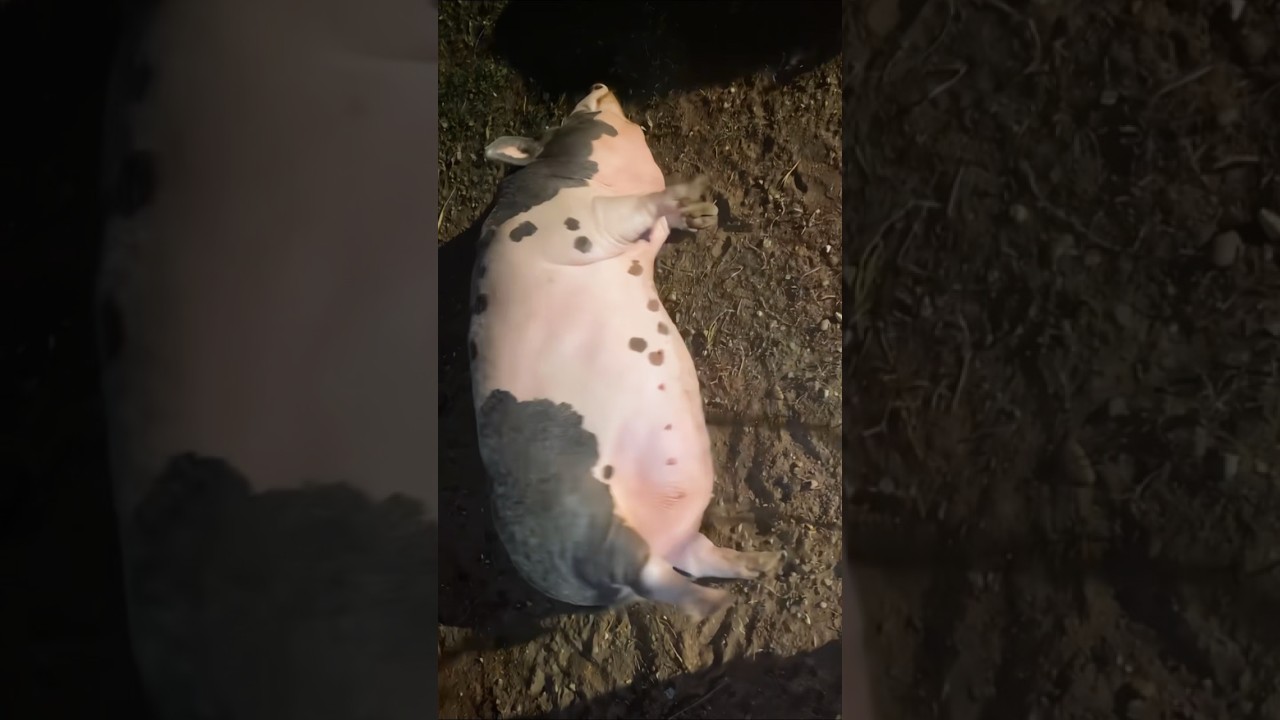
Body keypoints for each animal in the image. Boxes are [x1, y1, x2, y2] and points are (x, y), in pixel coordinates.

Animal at [469, 84, 783, 619]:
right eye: (562, 119)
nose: (598, 85)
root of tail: (564, 585)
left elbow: (659, 222)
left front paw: (703, 213)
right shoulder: (581, 220)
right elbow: (634, 206)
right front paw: (690, 187)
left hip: (663, 537)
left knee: (694, 556)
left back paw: (767, 562)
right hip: (598, 529)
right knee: (659, 579)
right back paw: (717, 604)